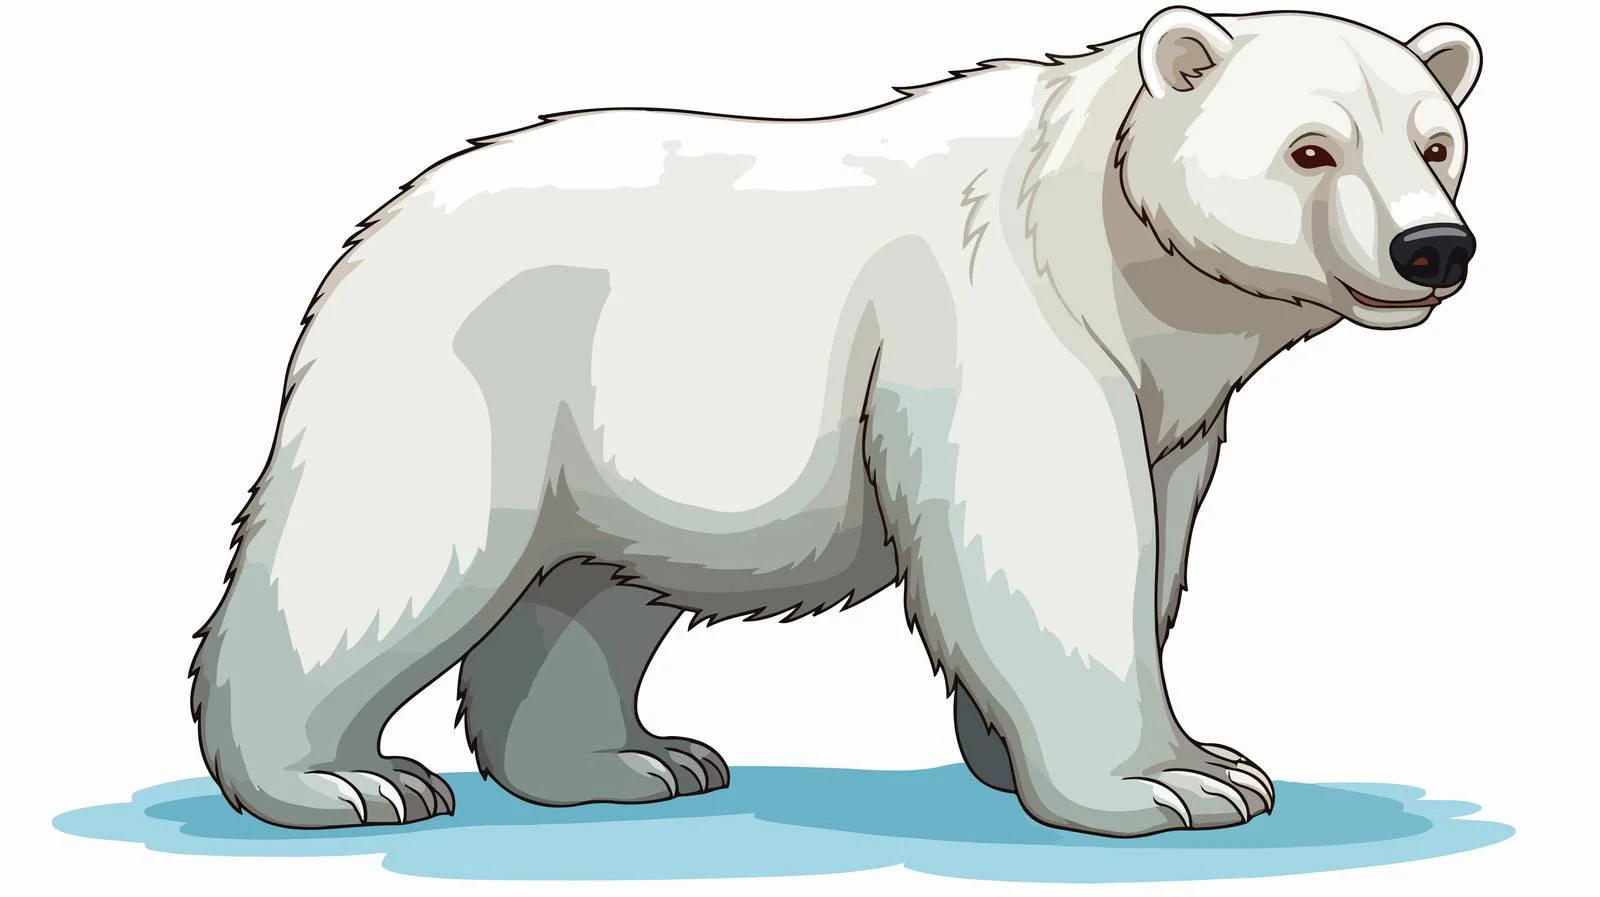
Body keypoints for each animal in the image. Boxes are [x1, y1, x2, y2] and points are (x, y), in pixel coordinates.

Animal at [189, 6, 1482, 837]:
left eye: (1436, 143)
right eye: (1309, 149)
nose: (1433, 248)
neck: (1116, 253)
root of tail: (378, 224)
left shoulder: (1175, 407)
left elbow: (1150, 539)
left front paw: (1136, 755)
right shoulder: (1005, 312)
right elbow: (1045, 536)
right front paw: (1170, 788)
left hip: (608, 427)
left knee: (588, 589)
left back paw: (629, 760)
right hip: (471, 370)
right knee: (387, 553)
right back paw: (340, 784)